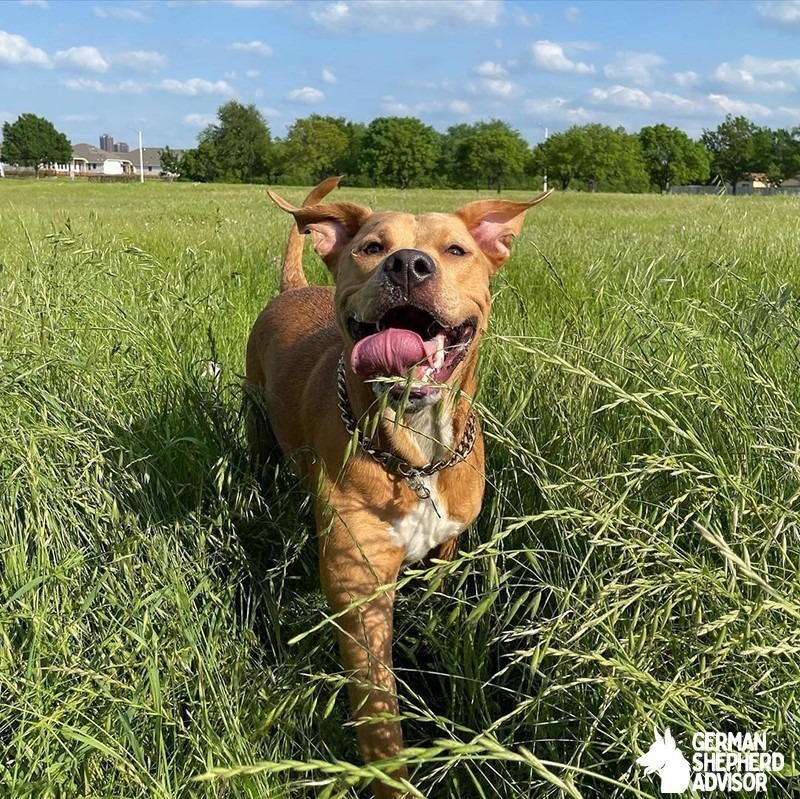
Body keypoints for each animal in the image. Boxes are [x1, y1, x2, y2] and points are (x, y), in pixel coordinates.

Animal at [247, 178, 552, 796]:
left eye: (456, 250)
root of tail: (296, 288)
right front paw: (393, 778)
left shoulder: (447, 545)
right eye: (371, 247)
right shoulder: (358, 587)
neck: (415, 454)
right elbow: (379, 714)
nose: (409, 264)